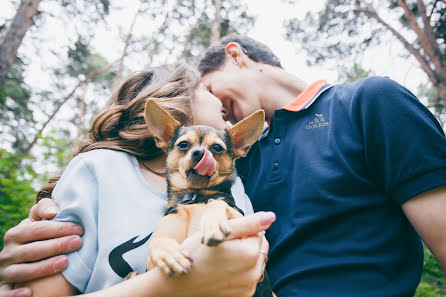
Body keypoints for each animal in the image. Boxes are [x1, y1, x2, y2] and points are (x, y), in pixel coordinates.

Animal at [143, 98, 272, 294]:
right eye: (183, 144)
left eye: (217, 148)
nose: (199, 153)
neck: (194, 197)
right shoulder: (151, 267)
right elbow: (157, 240)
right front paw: (168, 252)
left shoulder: (242, 220)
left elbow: (217, 202)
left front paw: (213, 223)